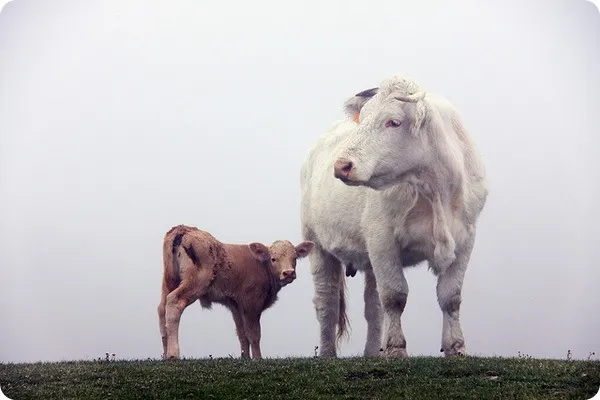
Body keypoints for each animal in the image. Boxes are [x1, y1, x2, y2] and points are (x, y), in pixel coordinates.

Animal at [157, 225, 316, 360]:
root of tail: (184, 229)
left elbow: (242, 333)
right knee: (174, 302)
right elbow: (254, 333)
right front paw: (257, 358)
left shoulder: (236, 305)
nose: (288, 273)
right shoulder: (251, 303)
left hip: (169, 282)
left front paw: (245, 358)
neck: (262, 266)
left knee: (162, 309)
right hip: (196, 282)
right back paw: (173, 354)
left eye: (294, 258)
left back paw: (165, 353)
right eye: (273, 259)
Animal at [300, 74, 488, 356]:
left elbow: (450, 296)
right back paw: (327, 354)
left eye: (393, 122)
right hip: (317, 244)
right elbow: (394, 296)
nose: (342, 165)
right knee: (327, 303)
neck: (435, 189)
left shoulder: (465, 238)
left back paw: (371, 354)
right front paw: (397, 350)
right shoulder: (382, 239)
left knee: (372, 307)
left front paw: (456, 349)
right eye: (364, 117)